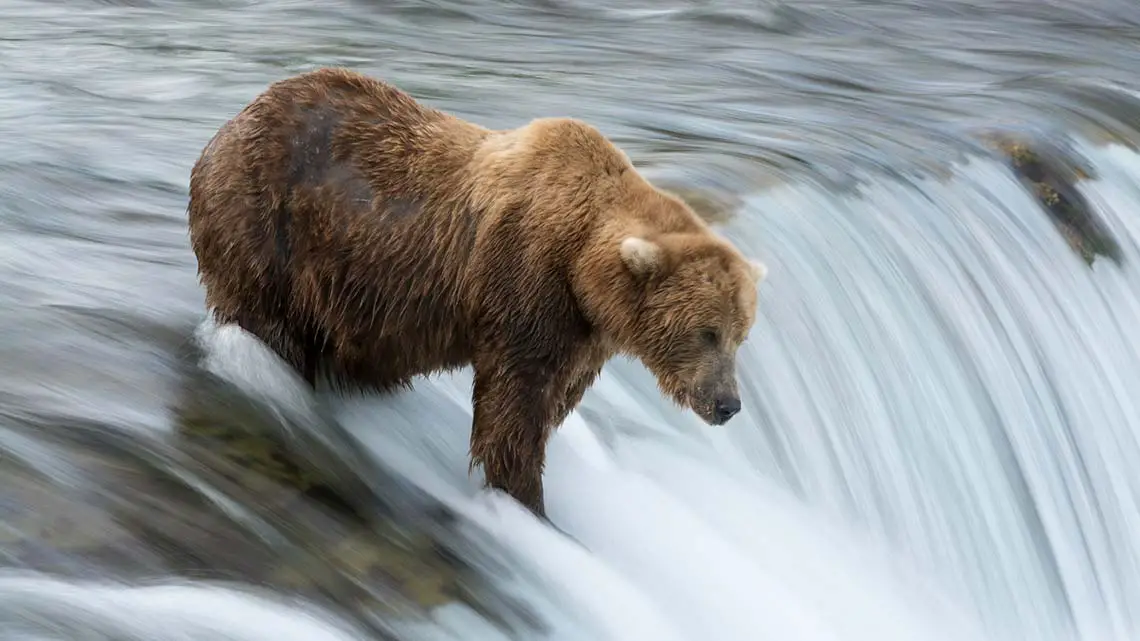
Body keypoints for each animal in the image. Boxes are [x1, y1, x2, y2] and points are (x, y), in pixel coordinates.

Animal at [186, 67, 770, 515]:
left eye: (740, 335)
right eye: (707, 332)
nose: (728, 404)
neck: (584, 265)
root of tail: (228, 124)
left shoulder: (583, 333)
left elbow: (552, 401)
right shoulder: (528, 284)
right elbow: (514, 407)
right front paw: (525, 498)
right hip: (266, 221)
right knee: (266, 320)